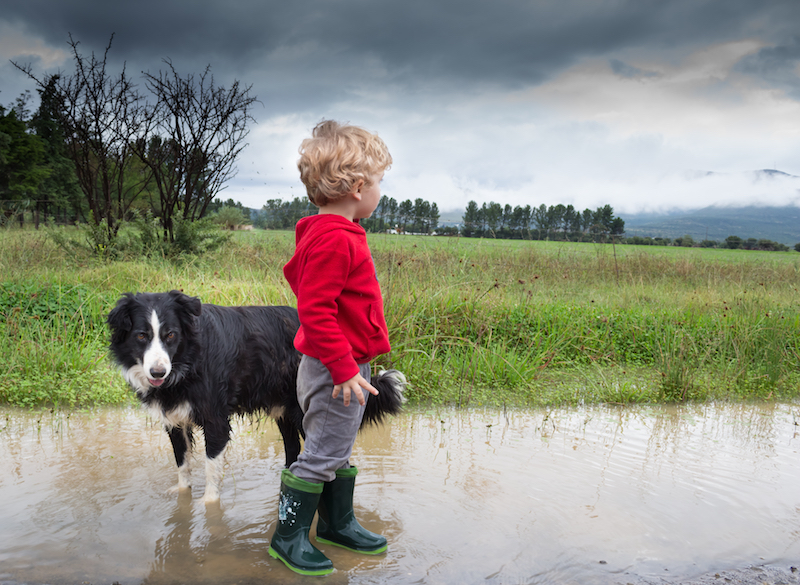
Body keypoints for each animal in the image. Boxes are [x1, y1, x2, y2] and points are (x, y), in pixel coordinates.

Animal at [108, 290, 406, 504]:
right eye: (142, 336)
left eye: (170, 335)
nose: (157, 372)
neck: (187, 360)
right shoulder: (174, 417)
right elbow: (182, 460)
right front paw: (181, 496)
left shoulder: (215, 417)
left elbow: (211, 466)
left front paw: (208, 508)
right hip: (284, 408)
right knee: (293, 449)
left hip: (308, 406)